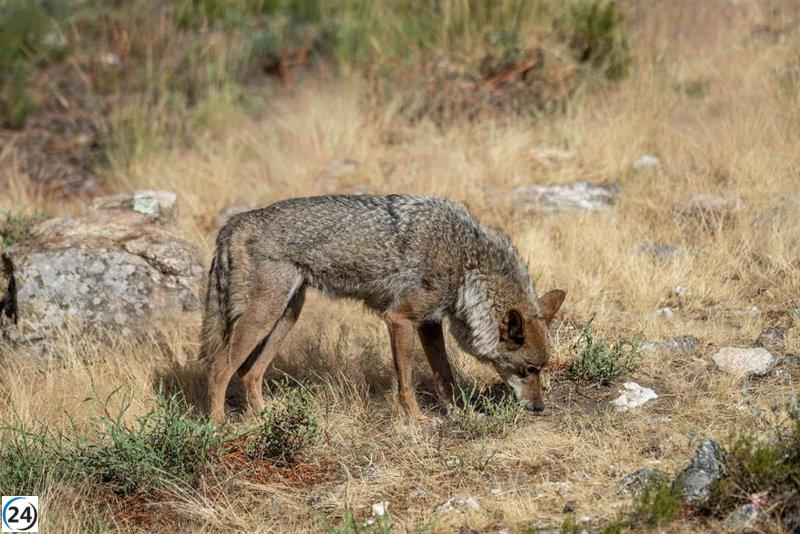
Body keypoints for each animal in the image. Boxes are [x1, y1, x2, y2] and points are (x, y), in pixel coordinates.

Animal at [201, 194, 565, 424]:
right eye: (527, 370)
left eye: (541, 369)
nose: (539, 407)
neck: (466, 262)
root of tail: (234, 222)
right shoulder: (399, 318)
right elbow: (405, 382)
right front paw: (417, 420)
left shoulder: (429, 323)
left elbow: (444, 376)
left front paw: (460, 414)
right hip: (264, 316)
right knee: (219, 369)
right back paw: (218, 428)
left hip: (287, 315)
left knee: (250, 373)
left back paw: (267, 418)